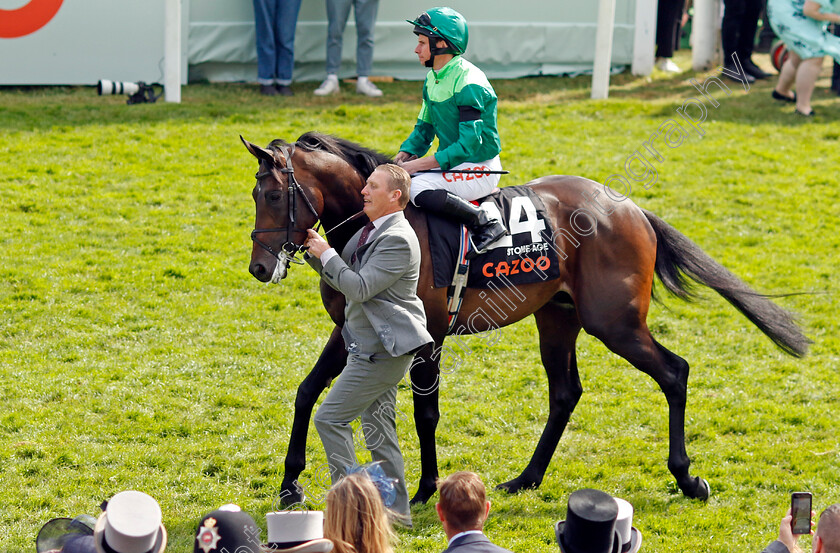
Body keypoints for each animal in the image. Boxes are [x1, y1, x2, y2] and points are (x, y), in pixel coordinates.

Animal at [241, 129, 808, 504]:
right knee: (566, 392)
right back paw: (527, 478)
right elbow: (307, 392)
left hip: (615, 323)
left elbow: (426, 414)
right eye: (253, 193)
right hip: (558, 318)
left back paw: (687, 478)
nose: (259, 267)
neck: (374, 224)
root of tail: (629, 207)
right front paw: (290, 483)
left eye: (273, 194)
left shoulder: (428, 337)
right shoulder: (349, 329)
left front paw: (426, 489)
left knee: (675, 372)